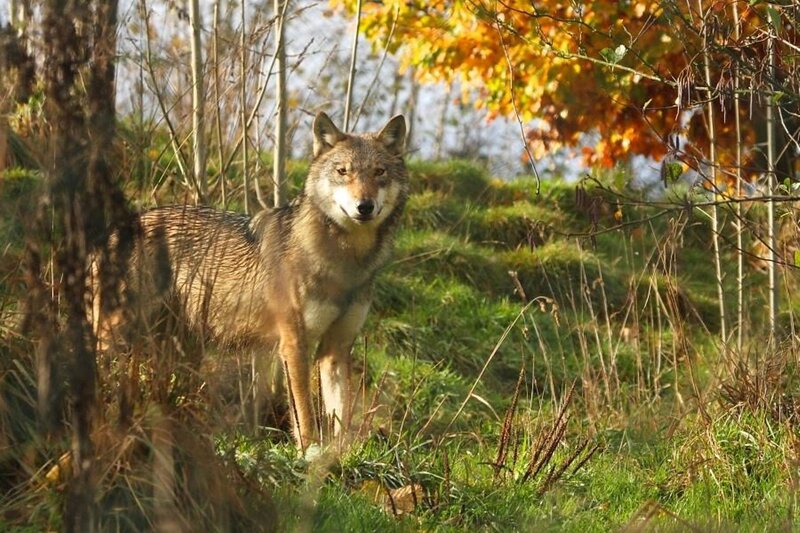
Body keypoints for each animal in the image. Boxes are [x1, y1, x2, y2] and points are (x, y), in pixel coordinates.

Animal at [91, 112, 408, 449]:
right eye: (343, 171)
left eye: (379, 172)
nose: (365, 206)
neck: (346, 263)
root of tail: (115, 228)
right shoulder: (294, 345)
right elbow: (305, 415)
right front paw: (308, 453)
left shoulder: (336, 349)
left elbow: (340, 419)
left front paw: (338, 455)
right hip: (117, 333)